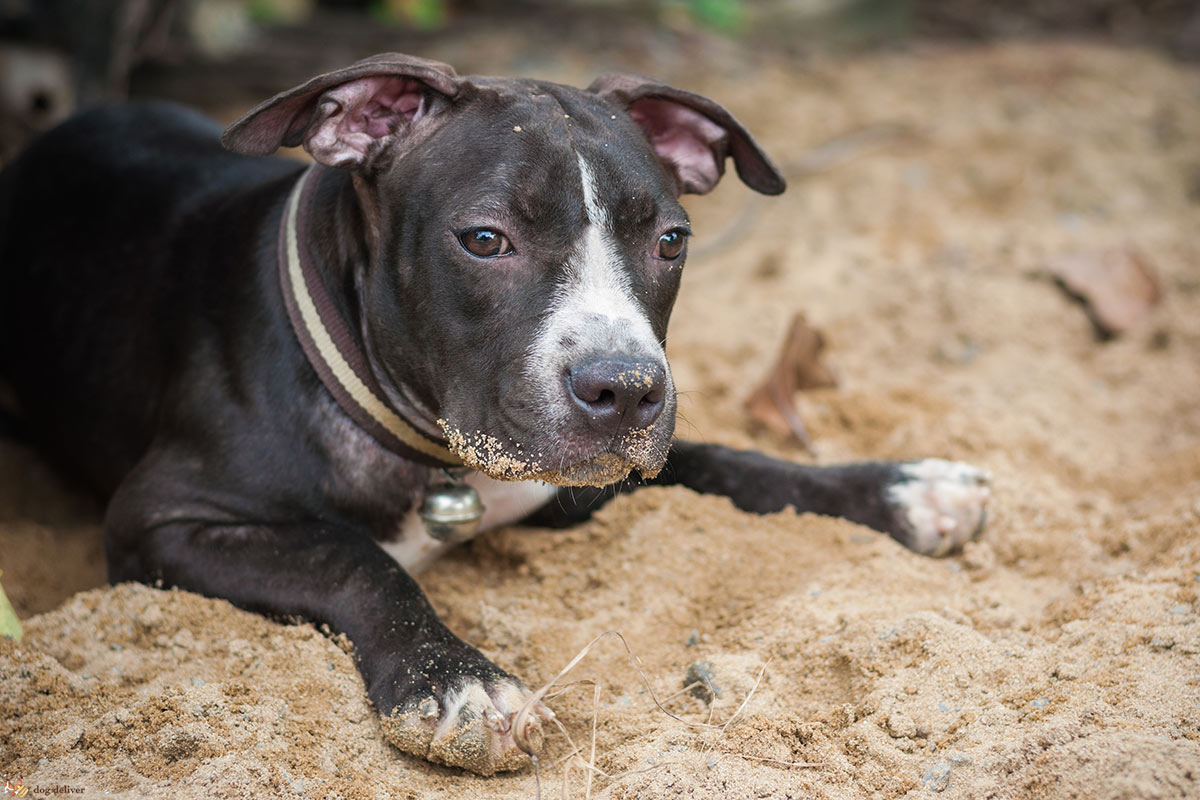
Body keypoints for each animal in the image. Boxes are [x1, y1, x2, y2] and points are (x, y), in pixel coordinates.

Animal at [0, 51, 988, 777]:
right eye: (485, 240)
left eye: (671, 241)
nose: (627, 387)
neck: (435, 452)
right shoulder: (158, 521)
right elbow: (350, 557)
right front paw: (458, 685)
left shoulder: (586, 484)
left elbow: (740, 465)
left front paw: (906, 487)